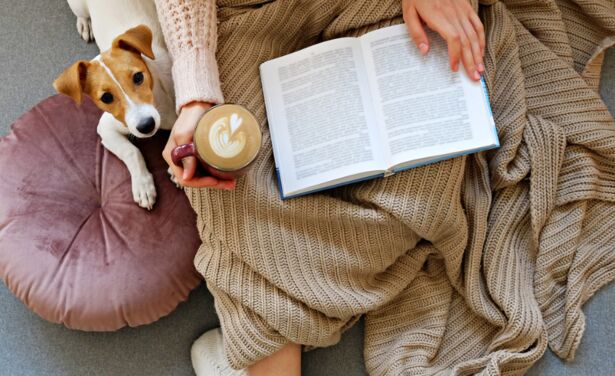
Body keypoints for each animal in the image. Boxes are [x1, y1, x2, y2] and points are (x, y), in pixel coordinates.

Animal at [52, 0, 178, 210]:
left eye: (138, 77)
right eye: (106, 98)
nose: (146, 126)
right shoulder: (106, 128)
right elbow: (131, 151)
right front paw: (142, 185)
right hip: (78, 5)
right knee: (81, 14)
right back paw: (85, 24)